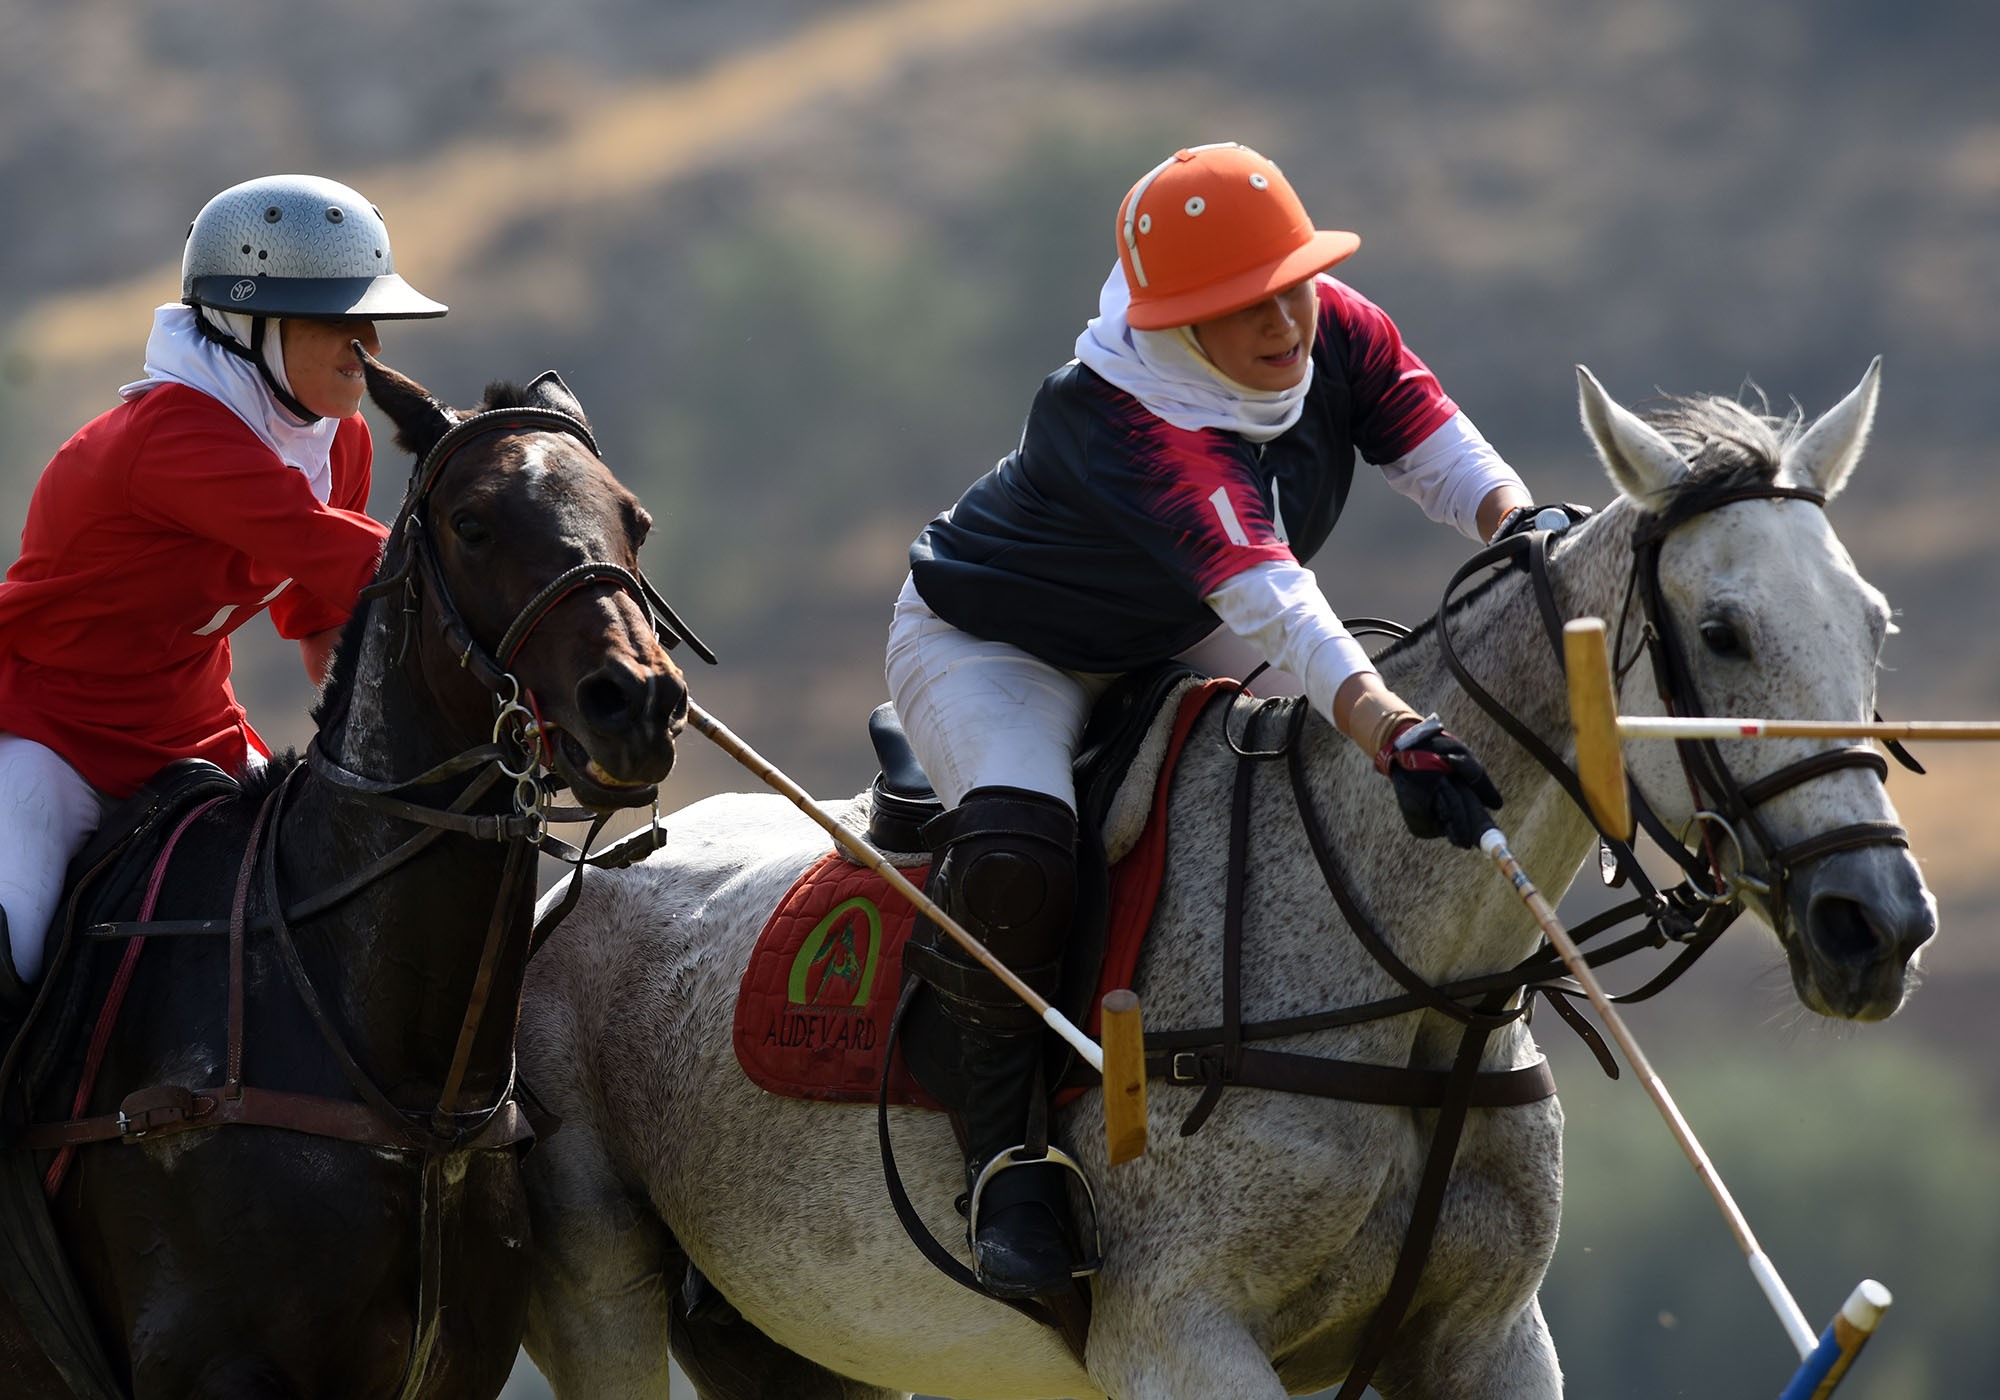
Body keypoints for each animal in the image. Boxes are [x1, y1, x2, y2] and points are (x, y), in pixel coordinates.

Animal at [516, 364, 1936, 1400]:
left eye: (1875, 623)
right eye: (1721, 632)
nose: (1877, 924)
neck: (1409, 980)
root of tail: (582, 871)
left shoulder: (1488, 1337)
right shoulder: (1176, 1335)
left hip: (791, 1336)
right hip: (597, 1282)